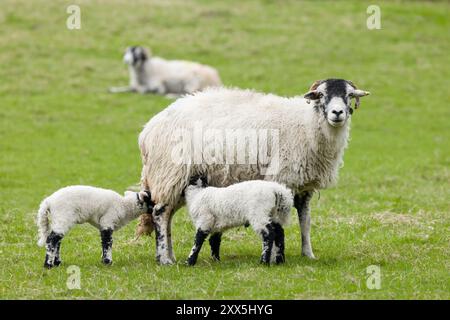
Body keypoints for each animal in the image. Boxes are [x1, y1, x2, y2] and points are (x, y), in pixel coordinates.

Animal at [138, 78, 370, 264]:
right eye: (321, 95)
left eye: (349, 95)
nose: (337, 113)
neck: (307, 124)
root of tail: (148, 129)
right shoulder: (281, 178)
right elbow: (277, 223)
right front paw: (276, 256)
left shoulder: (304, 186)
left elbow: (305, 221)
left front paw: (308, 254)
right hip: (170, 172)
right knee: (160, 213)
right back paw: (165, 259)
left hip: (177, 181)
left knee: (167, 215)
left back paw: (169, 255)